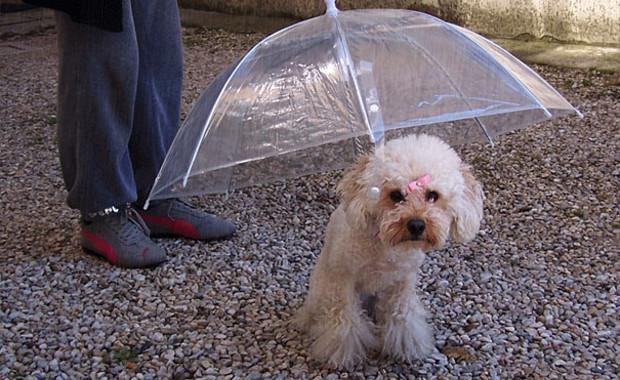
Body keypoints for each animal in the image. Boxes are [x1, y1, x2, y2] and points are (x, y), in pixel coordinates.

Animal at [296, 134, 484, 368]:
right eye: (396, 195)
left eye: (433, 195)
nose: (416, 224)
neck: (386, 247)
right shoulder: (343, 280)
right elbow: (344, 321)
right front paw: (342, 353)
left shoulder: (402, 282)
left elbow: (401, 316)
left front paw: (407, 347)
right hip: (322, 290)